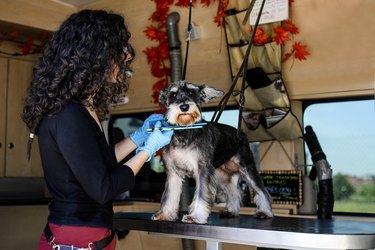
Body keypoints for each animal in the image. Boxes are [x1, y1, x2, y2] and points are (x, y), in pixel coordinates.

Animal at [152, 80, 274, 225]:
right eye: (173, 94)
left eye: (191, 93)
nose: (184, 106)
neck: (185, 131)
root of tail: (240, 134)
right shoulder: (173, 172)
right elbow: (169, 195)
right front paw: (165, 214)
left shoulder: (202, 170)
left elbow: (201, 195)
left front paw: (195, 216)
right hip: (222, 175)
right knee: (234, 192)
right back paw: (231, 211)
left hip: (247, 168)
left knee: (262, 191)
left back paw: (265, 212)